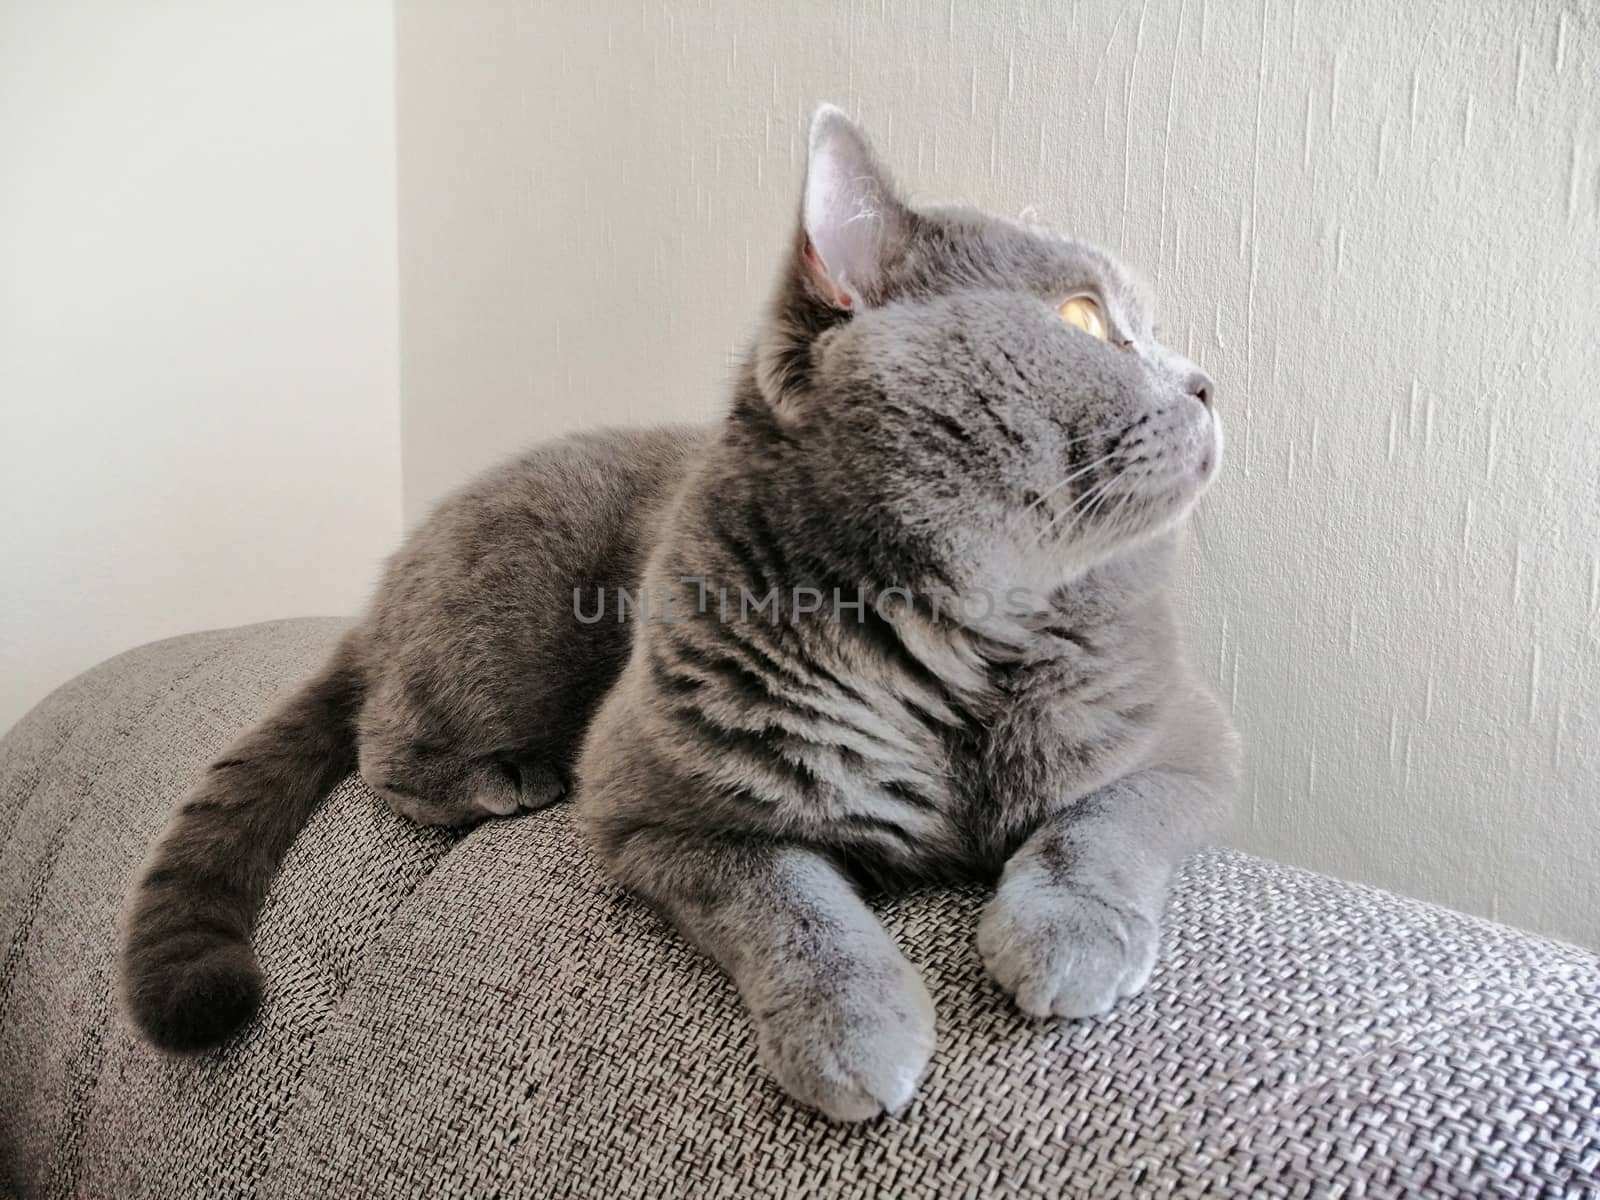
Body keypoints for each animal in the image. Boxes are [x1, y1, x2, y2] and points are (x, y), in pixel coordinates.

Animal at [121, 108, 1235, 1126]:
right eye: (1084, 318)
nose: (1207, 384)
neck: (965, 636)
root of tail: (389, 578)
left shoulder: (1192, 744)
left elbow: (1101, 826)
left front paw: (1065, 940)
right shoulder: (651, 806)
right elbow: (790, 902)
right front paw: (853, 1033)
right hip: (509, 623)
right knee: (382, 744)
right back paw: (505, 779)